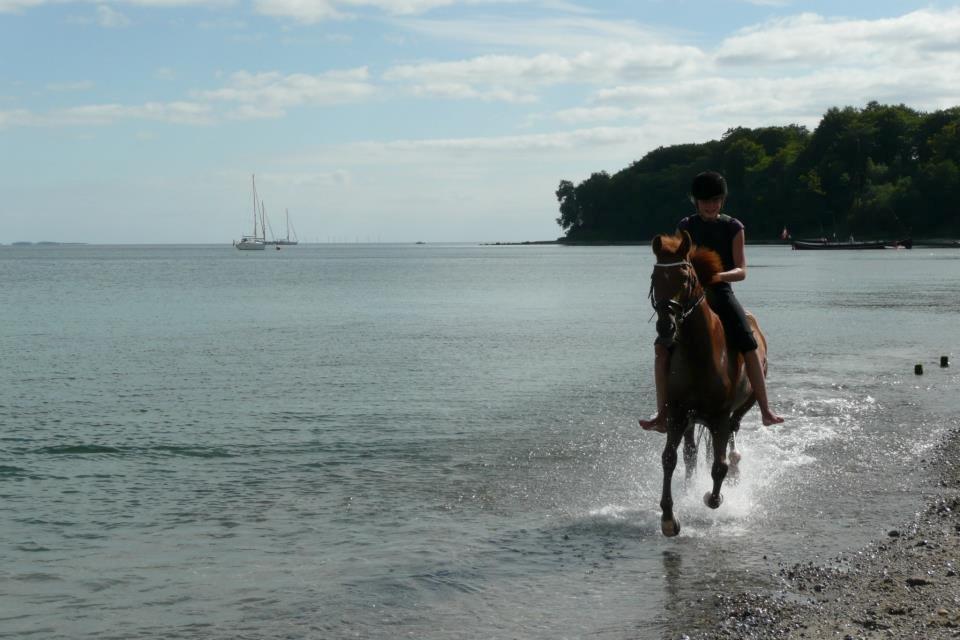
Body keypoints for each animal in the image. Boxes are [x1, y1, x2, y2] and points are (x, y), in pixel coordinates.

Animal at [648, 230, 769, 537]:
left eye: (685, 278)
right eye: (655, 277)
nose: (665, 326)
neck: (698, 352)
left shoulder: (720, 417)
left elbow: (718, 467)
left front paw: (713, 498)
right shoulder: (678, 413)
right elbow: (670, 458)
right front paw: (668, 517)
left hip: (743, 406)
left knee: (732, 442)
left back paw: (735, 469)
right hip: (692, 420)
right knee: (691, 453)